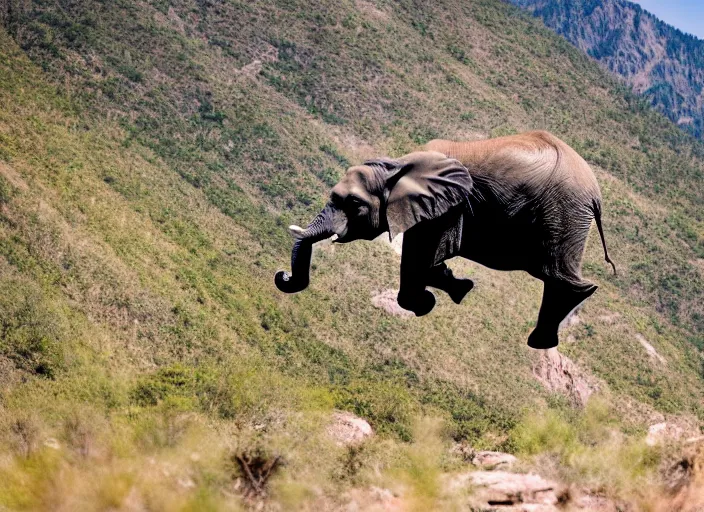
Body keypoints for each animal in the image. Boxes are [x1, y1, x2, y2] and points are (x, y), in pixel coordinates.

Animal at [272, 130, 612, 350]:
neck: (396, 165)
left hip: (563, 212)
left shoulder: (441, 210)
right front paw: (458, 286)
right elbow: (428, 261)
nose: (283, 276)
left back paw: (540, 341)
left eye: (354, 203)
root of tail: (595, 192)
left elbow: (417, 257)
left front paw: (426, 303)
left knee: (557, 276)